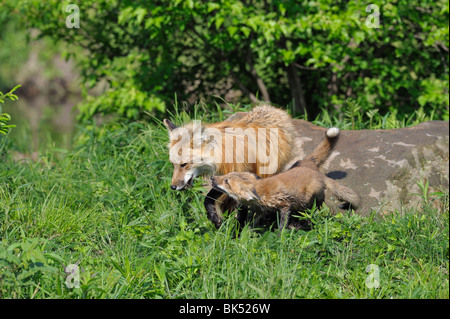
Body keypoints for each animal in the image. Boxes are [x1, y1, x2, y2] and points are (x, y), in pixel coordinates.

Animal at [209, 127, 360, 230]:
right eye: (226, 176)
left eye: (227, 182)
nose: (212, 178)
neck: (263, 191)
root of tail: (310, 166)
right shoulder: (261, 210)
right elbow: (253, 223)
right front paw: (249, 232)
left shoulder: (284, 205)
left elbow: (282, 224)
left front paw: (280, 235)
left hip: (310, 198)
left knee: (316, 204)